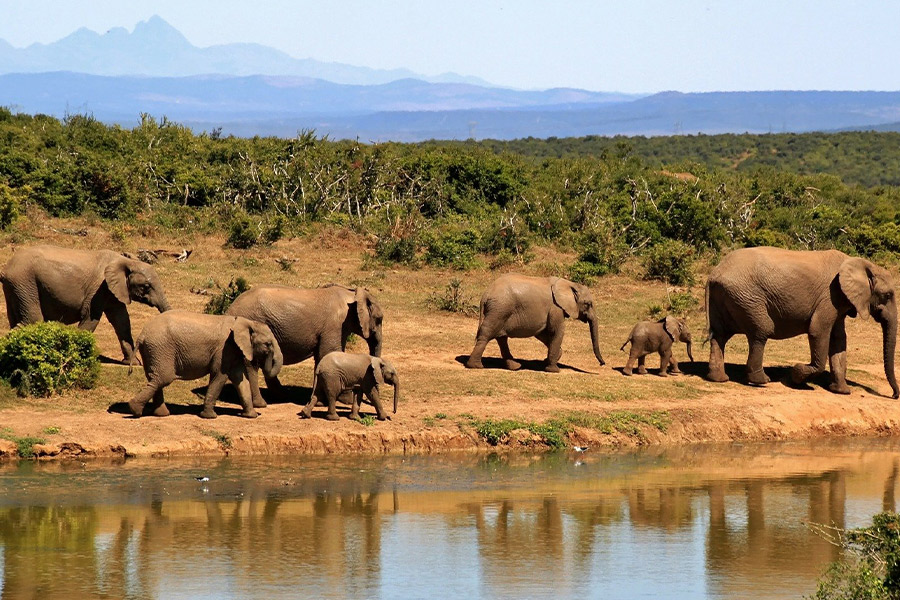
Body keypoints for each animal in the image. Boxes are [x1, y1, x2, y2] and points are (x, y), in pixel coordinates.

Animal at [1, 244, 171, 363]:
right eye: (146, 286)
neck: (126, 261)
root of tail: (6, 269)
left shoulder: (113, 291)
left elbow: (122, 321)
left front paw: (133, 364)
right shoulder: (99, 289)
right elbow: (91, 318)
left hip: (16, 287)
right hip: (25, 282)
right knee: (32, 320)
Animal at [127, 310, 283, 419]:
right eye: (268, 344)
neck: (245, 322)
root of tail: (142, 335)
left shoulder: (233, 351)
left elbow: (240, 379)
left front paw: (251, 416)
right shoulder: (224, 349)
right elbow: (220, 375)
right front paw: (210, 417)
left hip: (153, 351)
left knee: (155, 379)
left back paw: (161, 414)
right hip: (161, 349)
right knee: (163, 378)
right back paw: (135, 410)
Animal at [226, 284, 383, 407]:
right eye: (379, 319)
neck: (351, 293)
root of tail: (229, 310)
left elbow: (322, 357)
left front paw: (321, 401)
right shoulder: (335, 325)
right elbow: (329, 352)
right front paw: (345, 401)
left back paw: (282, 396)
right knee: (251, 364)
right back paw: (261, 403)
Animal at [465, 274, 605, 372]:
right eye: (588, 304)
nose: (602, 364)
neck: (569, 284)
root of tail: (485, 295)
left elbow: (542, 333)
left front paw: (548, 360)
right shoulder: (555, 307)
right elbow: (556, 331)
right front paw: (554, 370)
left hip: (500, 311)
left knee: (501, 338)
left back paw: (515, 367)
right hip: (500, 309)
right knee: (487, 334)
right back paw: (476, 366)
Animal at [705, 246, 899, 398]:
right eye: (888, 295)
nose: (894, 395)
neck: (862, 264)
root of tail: (714, 273)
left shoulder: (839, 302)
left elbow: (839, 340)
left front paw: (841, 391)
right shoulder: (830, 296)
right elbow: (818, 331)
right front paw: (795, 376)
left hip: (727, 297)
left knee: (720, 335)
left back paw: (719, 379)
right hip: (747, 298)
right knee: (761, 331)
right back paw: (761, 381)